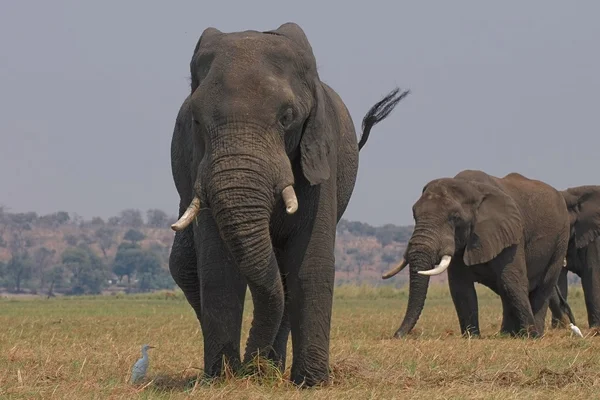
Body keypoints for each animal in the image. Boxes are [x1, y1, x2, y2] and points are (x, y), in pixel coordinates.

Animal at [169, 22, 412, 388]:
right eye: (195, 121)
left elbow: (308, 262)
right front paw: (223, 379)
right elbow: (218, 268)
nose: (250, 367)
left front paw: (311, 383)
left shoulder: (321, 153)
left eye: (287, 117)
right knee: (186, 267)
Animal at [382, 169, 568, 338]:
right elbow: (460, 287)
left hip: (561, 239)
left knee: (543, 284)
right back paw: (507, 334)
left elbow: (512, 281)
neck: (471, 188)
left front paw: (531, 335)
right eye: (414, 214)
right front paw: (472, 336)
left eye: (454, 217)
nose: (397, 335)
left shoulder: (512, 233)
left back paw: (534, 333)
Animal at [552, 186, 600, 330]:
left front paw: (595, 330)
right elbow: (559, 277)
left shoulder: (594, 240)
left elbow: (592, 274)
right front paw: (559, 330)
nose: (573, 322)